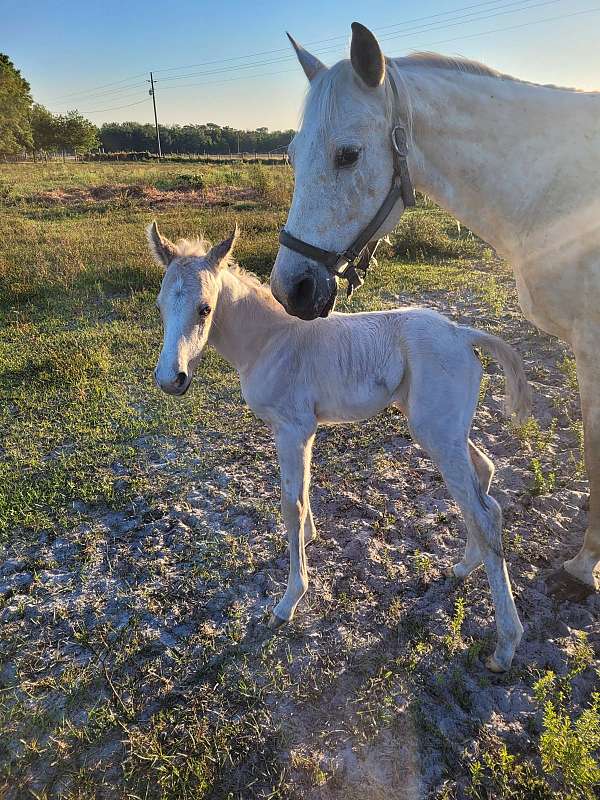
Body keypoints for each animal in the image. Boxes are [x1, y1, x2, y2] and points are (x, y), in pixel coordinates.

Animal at [149, 222, 528, 672]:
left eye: (204, 309)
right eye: (160, 305)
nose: (170, 379)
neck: (271, 340)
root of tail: (460, 332)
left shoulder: (292, 428)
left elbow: (290, 506)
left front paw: (288, 601)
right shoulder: (303, 430)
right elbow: (304, 490)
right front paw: (311, 537)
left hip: (437, 433)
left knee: (483, 513)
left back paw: (505, 645)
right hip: (446, 429)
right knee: (485, 480)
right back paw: (464, 566)